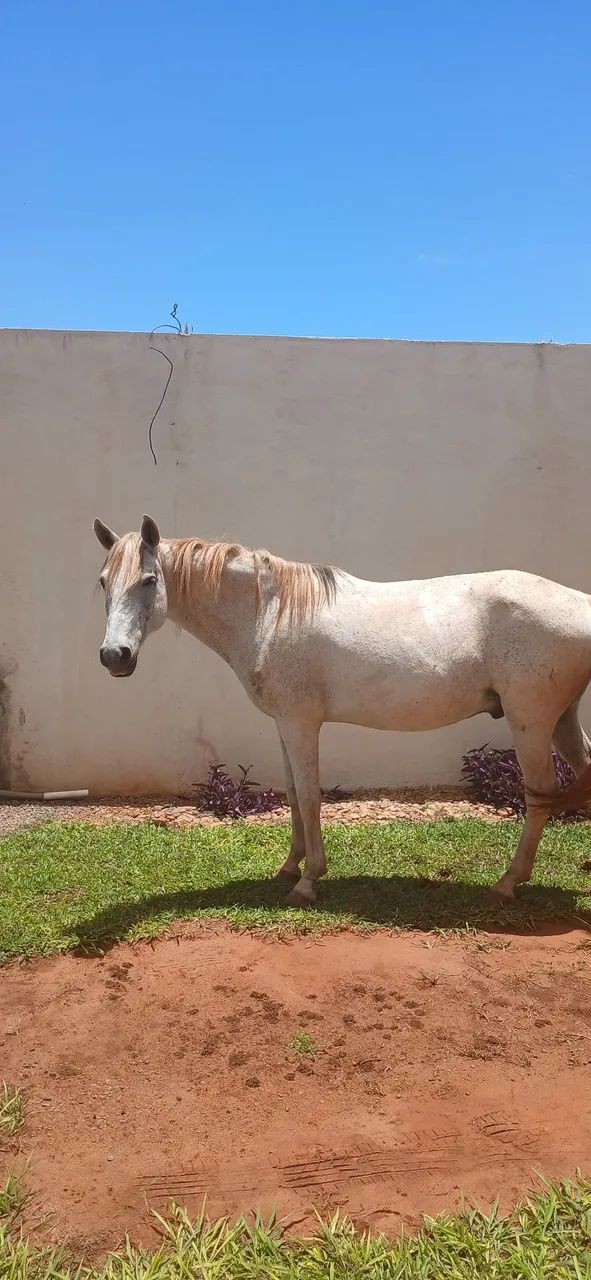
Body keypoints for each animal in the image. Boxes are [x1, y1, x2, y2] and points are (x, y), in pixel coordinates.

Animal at [93, 514, 591, 907]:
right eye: (102, 582)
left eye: (149, 580)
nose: (115, 656)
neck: (269, 613)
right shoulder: (284, 725)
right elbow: (293, 794)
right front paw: (290, 867)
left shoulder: (301, 724)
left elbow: (311, 797)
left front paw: (308, 881)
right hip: (562, 720)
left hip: (531, 723)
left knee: (539, 795)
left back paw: (507, 883)